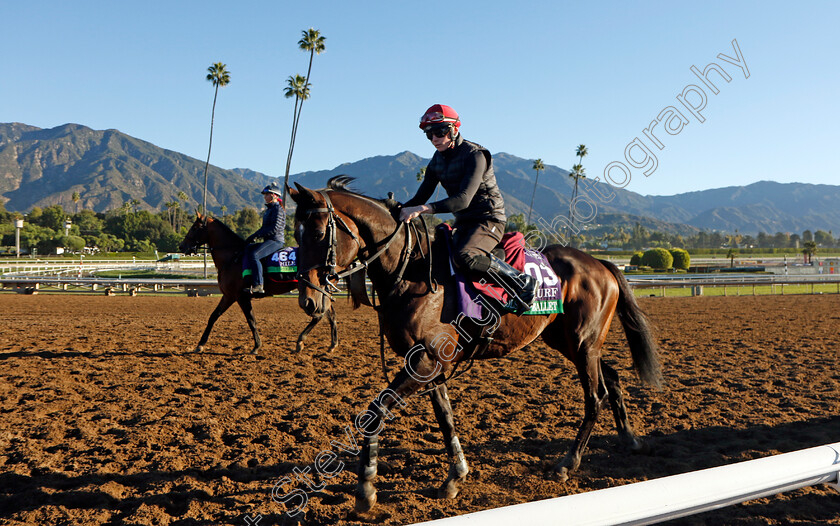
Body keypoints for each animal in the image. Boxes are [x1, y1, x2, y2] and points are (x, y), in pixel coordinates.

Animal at [179, 213, 336, 354]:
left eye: (194, 227)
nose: (181, 246)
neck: (233, 257)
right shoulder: (228, 296)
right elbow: (213, 316)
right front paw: (200, 345)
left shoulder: (240, 297)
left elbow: (251, 320)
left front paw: (256, 346)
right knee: (330, 314)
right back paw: (331, 345)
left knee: (319, 314)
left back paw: (301, 341)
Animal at [288, 180, 664, 516]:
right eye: (295, 234)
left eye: (318, 234)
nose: (307, 299)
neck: (411, 270)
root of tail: (602, 264)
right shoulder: (431, 363)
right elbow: (445, 416)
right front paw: (455, 477)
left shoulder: (425, 360)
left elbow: (376, 410)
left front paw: (365, 489)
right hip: (569, 342)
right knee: (611, 378)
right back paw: (631, 439)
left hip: (583, 342)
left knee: (595, 395)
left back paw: (568, 463)